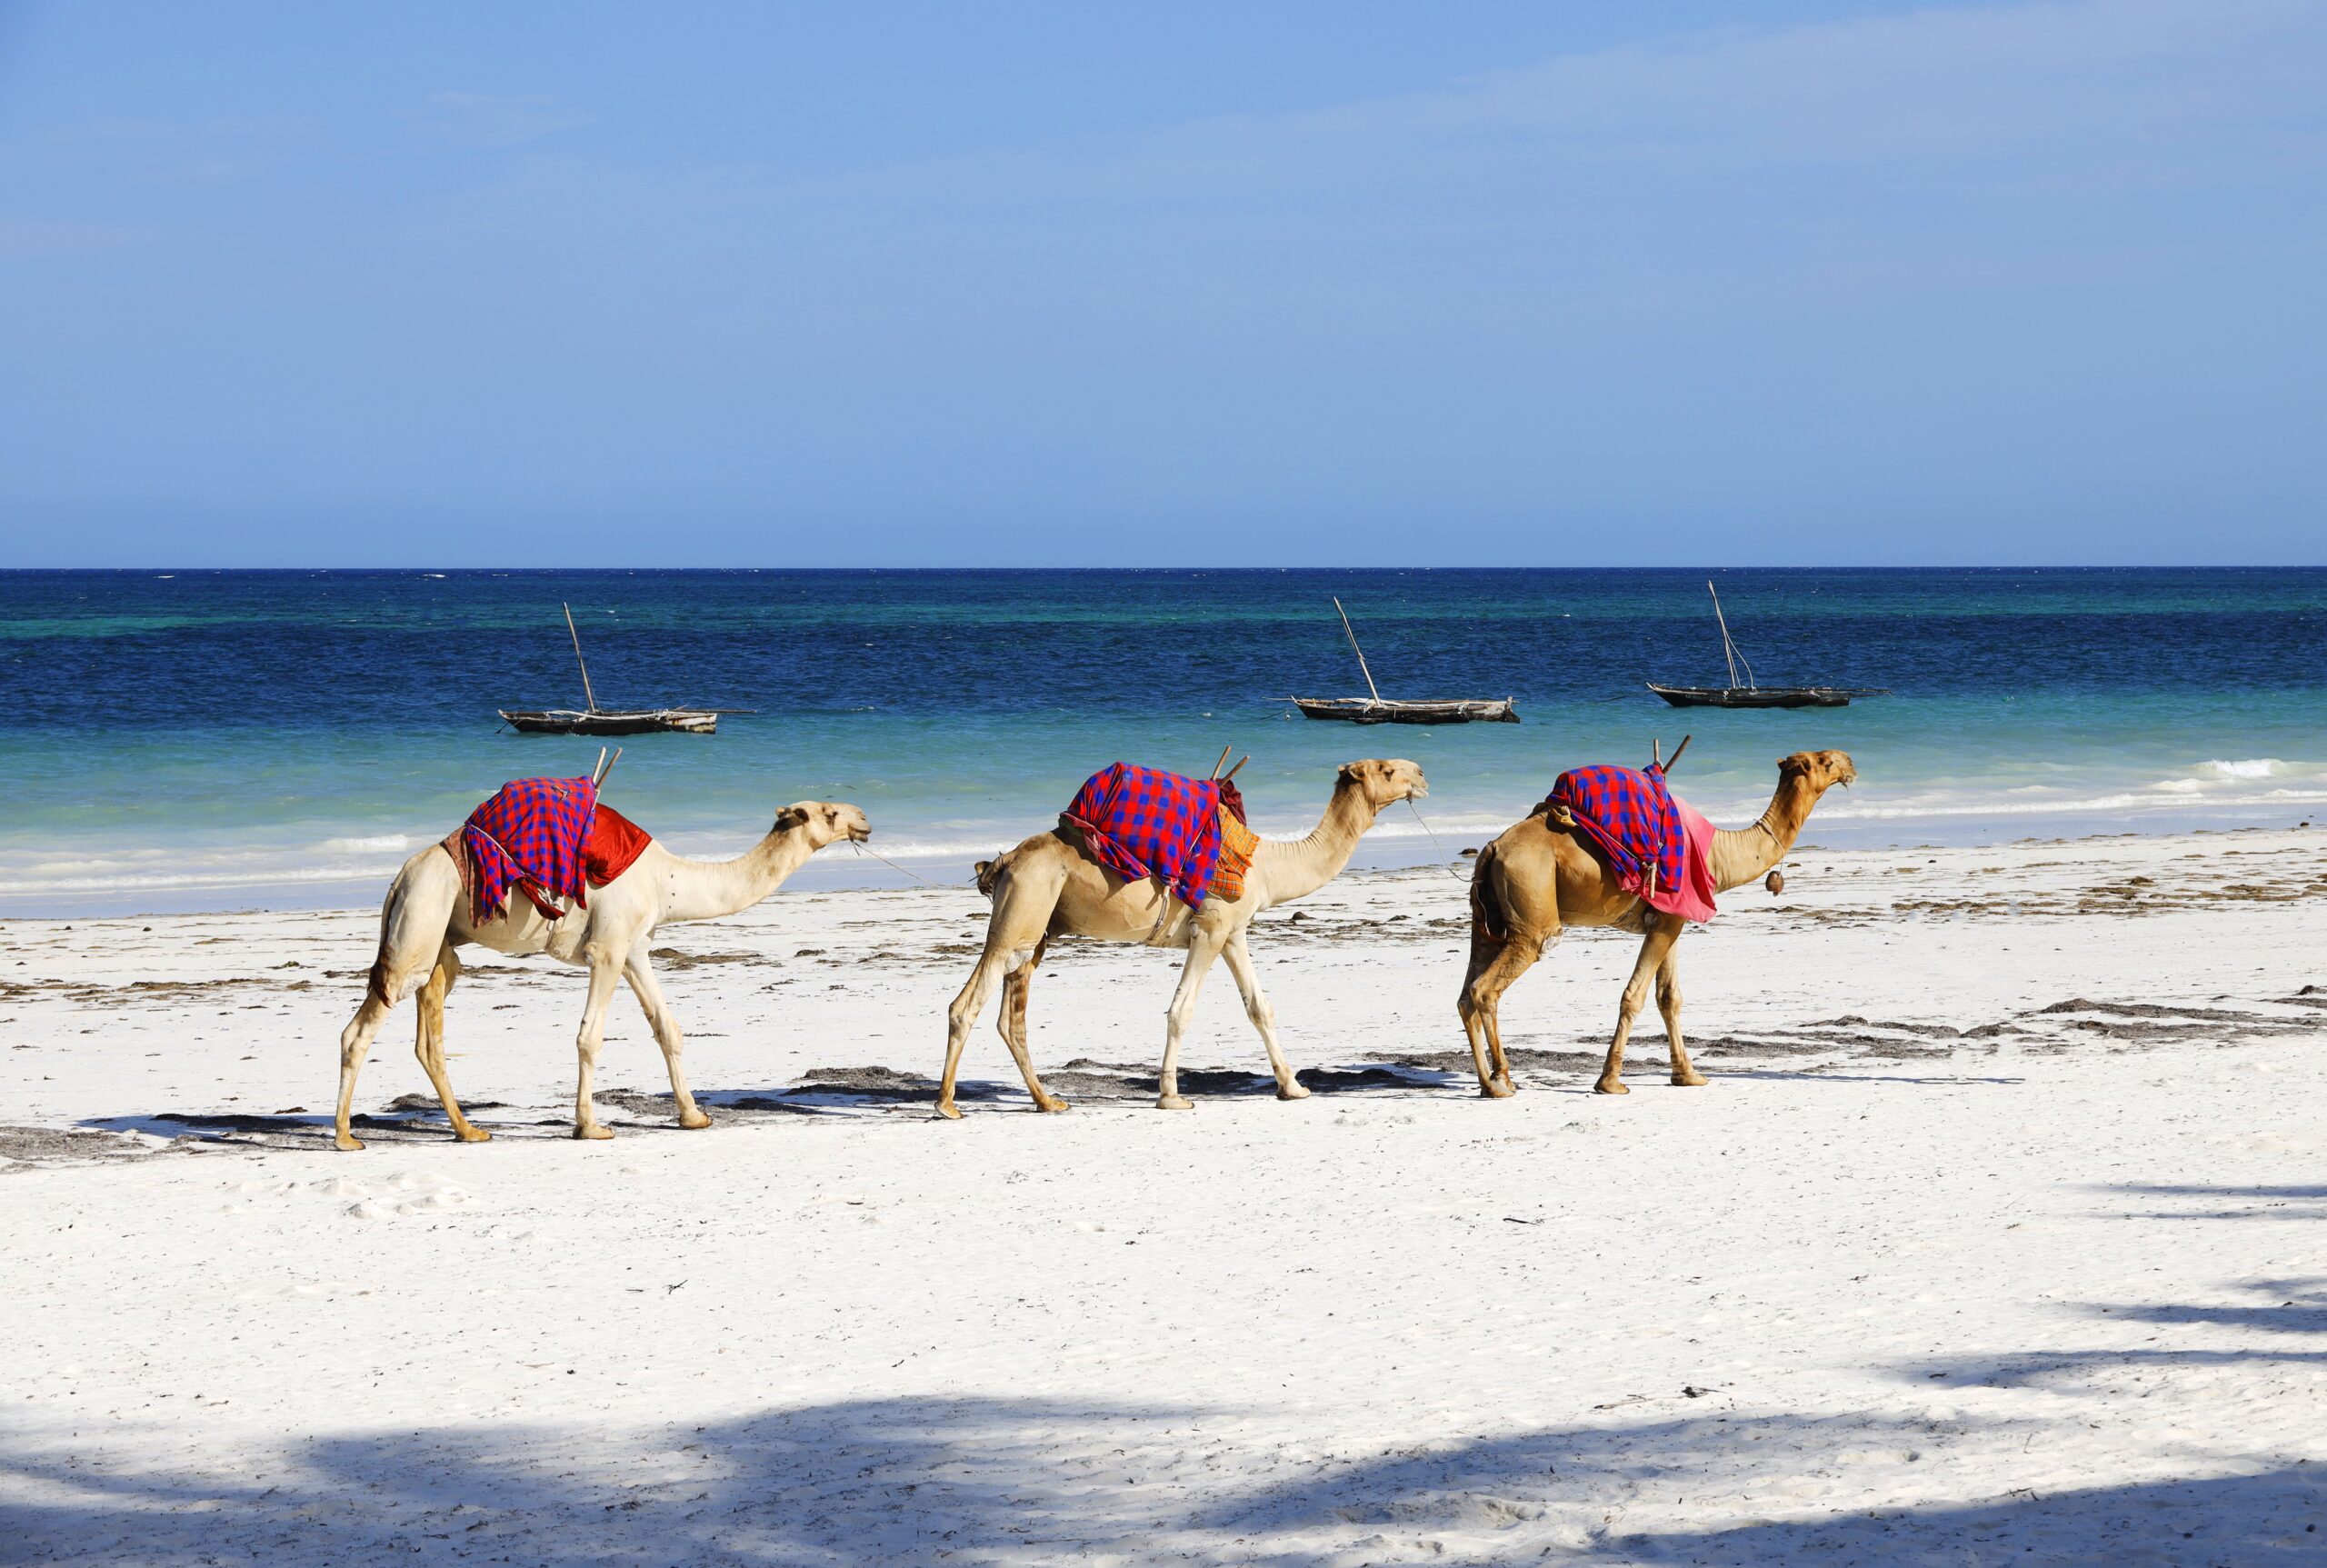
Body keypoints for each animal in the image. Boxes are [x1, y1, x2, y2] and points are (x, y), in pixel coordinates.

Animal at [333, 799, 871, 1149]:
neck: (667, 880)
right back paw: (345, 1137)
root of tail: (401, 876)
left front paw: (694, 1116)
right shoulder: (608, 949)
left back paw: (469, 1130)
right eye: (829, 812)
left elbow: (667, 1028)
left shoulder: (636, 949)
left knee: (429, 1036)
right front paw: (589, 1127)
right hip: (420, 927)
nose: (864, 819)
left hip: (441, 941)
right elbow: (590, 1036)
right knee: (362, 1028)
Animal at [937, 758, 1429, 1117]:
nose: (1422, 775)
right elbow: (1181, 1010)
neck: (1267, 866)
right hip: (1022, 910)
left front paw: (1294, 1087)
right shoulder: (1210, 928)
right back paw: (947, 1105)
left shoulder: (1233, 933)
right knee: (968, 1003)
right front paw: (1171, 1096)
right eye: (1386, 770)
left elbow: (1259, 1007)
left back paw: (1048, 1101)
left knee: (1012, 1016)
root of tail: (1005, 861)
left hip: (1039, 926)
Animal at [1458, 750, 1856, 1097]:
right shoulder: (1668, 921)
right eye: (1823, 761)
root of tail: (1492, 849)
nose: (1850, 763)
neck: (1718, 854)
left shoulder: (1670, 919)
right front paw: (1611, 1082)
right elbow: (1633, 995)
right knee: (1488, 987)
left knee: (1466, 996)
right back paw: (1501, 1081)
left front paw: (1688, 1075)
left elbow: (1669, 997)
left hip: (1486, 920)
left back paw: (1487, 1083)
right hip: (1532, 913)